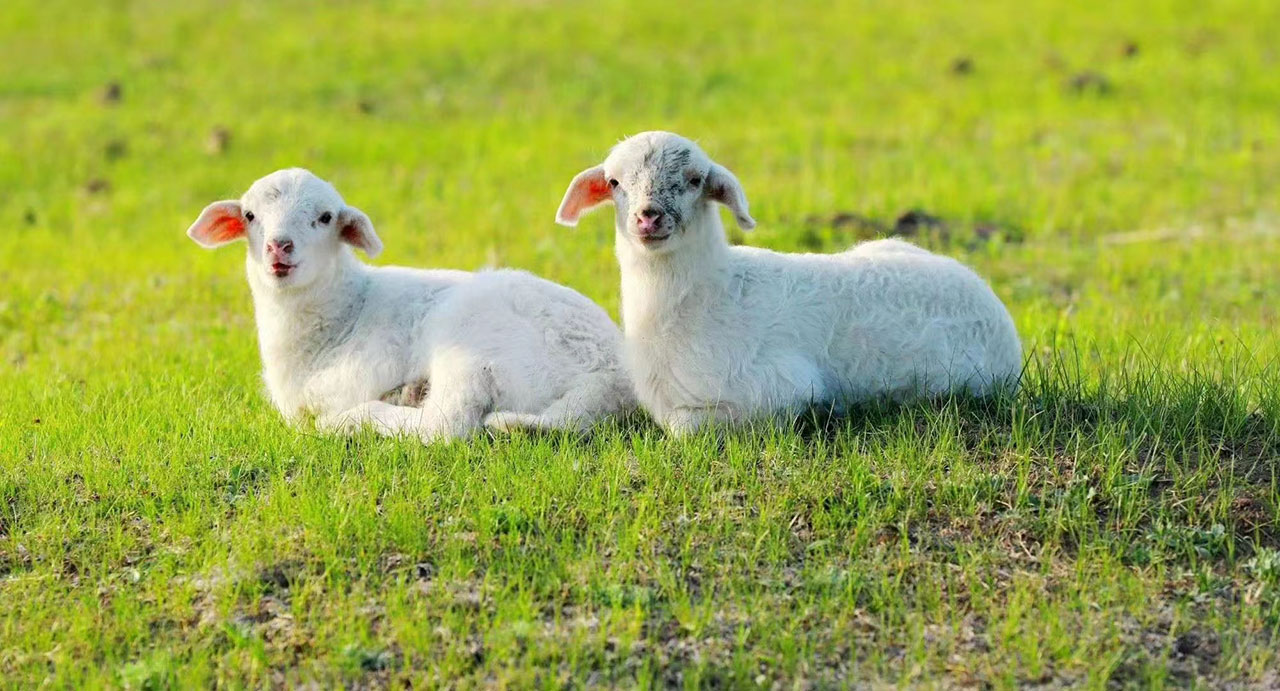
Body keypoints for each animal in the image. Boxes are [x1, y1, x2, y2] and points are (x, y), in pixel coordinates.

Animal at [185, 167, 634, 442]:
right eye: (249, 215)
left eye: (326, 217)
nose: (280, 246)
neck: (344, 312)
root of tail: (613, 382)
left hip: (470, 337)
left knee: (445, 425)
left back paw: (358, 418)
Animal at [555, 132, 1024, 435]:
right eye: (615, 182)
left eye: (695, 180)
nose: (648, 217)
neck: (709, 294)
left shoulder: (781, 386)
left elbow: (681, 426)